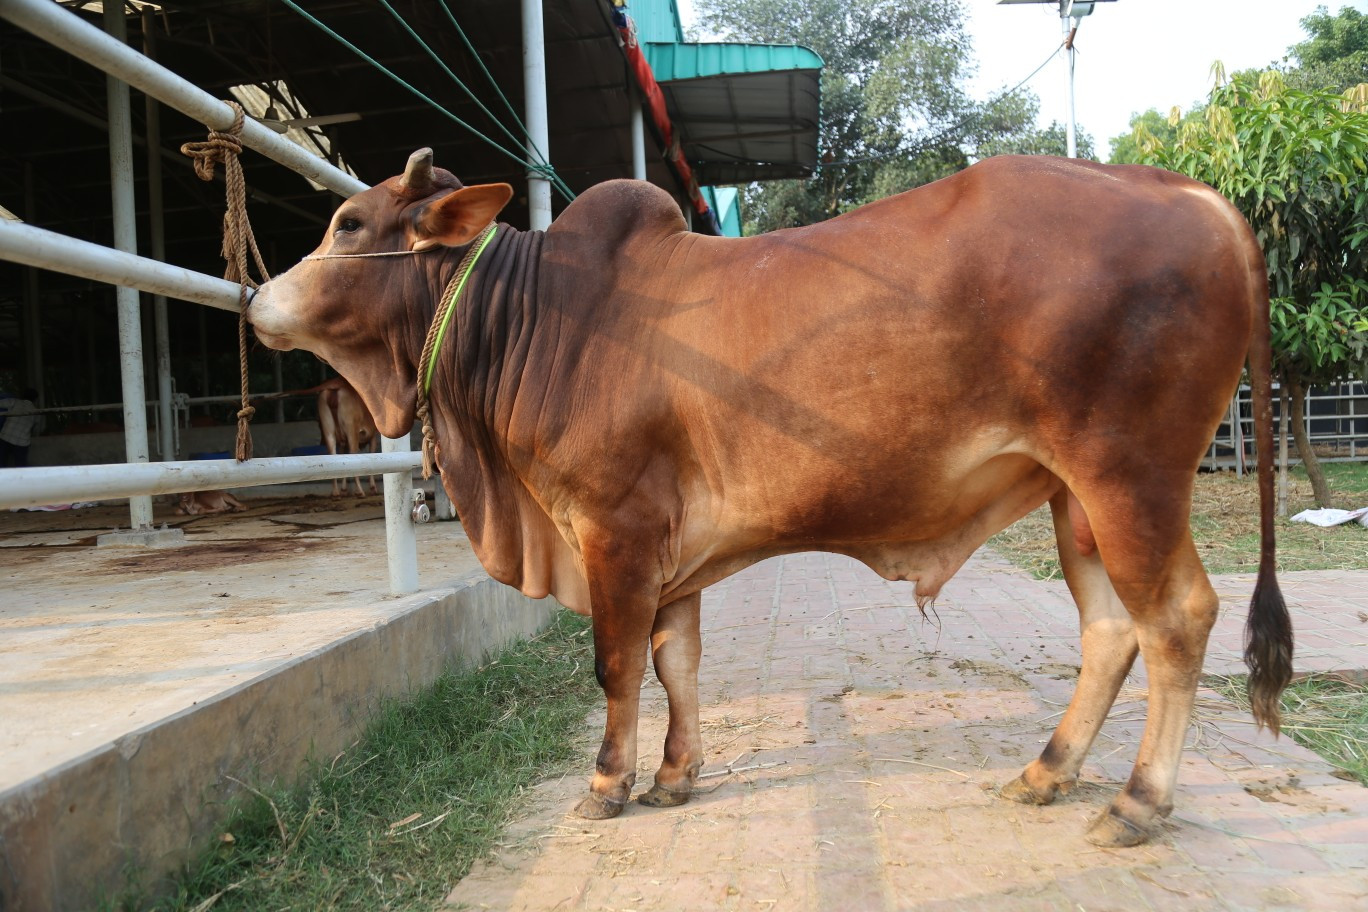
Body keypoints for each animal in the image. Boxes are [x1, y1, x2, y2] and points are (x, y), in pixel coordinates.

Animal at [246, 149, 1293, 847]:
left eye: (348, 225)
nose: (256, 298)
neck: (539, 319)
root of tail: (1191, 192)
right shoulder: (670, 554)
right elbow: (677, 663)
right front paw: (676, 775)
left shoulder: (615, 529)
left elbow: (616, 667)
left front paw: (608, 784)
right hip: (1075, 499)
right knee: (1112, 630)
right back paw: (1047, 772)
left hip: (1130, 477)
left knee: (1177, 620)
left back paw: (1137, 801)